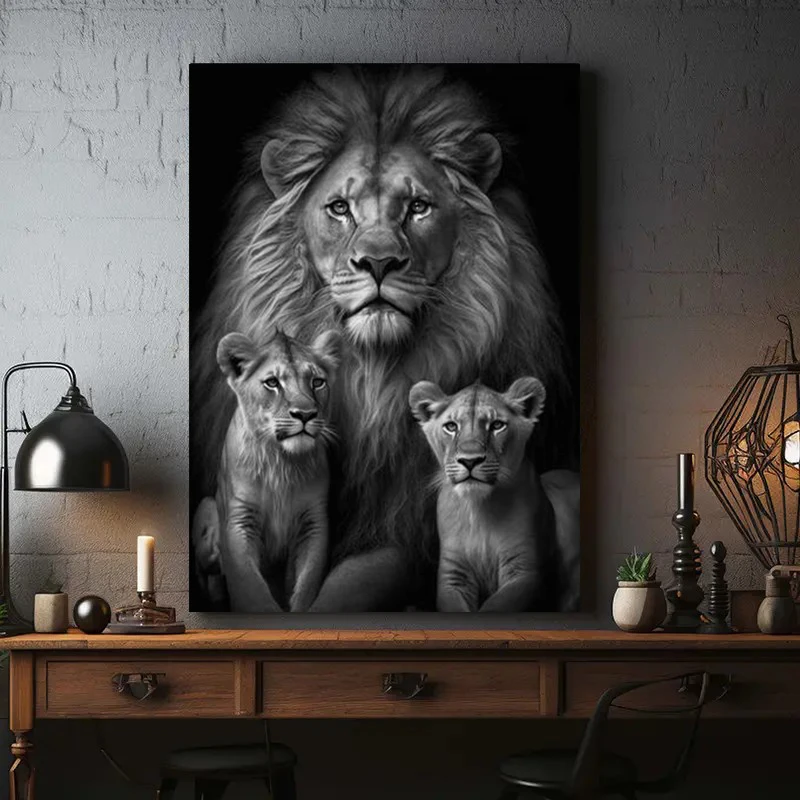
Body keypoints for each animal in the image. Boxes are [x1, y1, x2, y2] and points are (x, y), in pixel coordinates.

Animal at [193, 328, 341, 613]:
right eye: (272, 383)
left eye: (317, 382)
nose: (305, 414)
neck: (281, 461)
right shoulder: (238, 520)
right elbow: (251, 590)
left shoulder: (314, 521)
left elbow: (307, 584)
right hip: (206, 508)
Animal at [410, 377, 580, 612]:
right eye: (451, 427)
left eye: (497, 425)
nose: (470, 460)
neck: (479, 510)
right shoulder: (453, 575)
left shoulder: (524, 570)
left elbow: (496, 606)